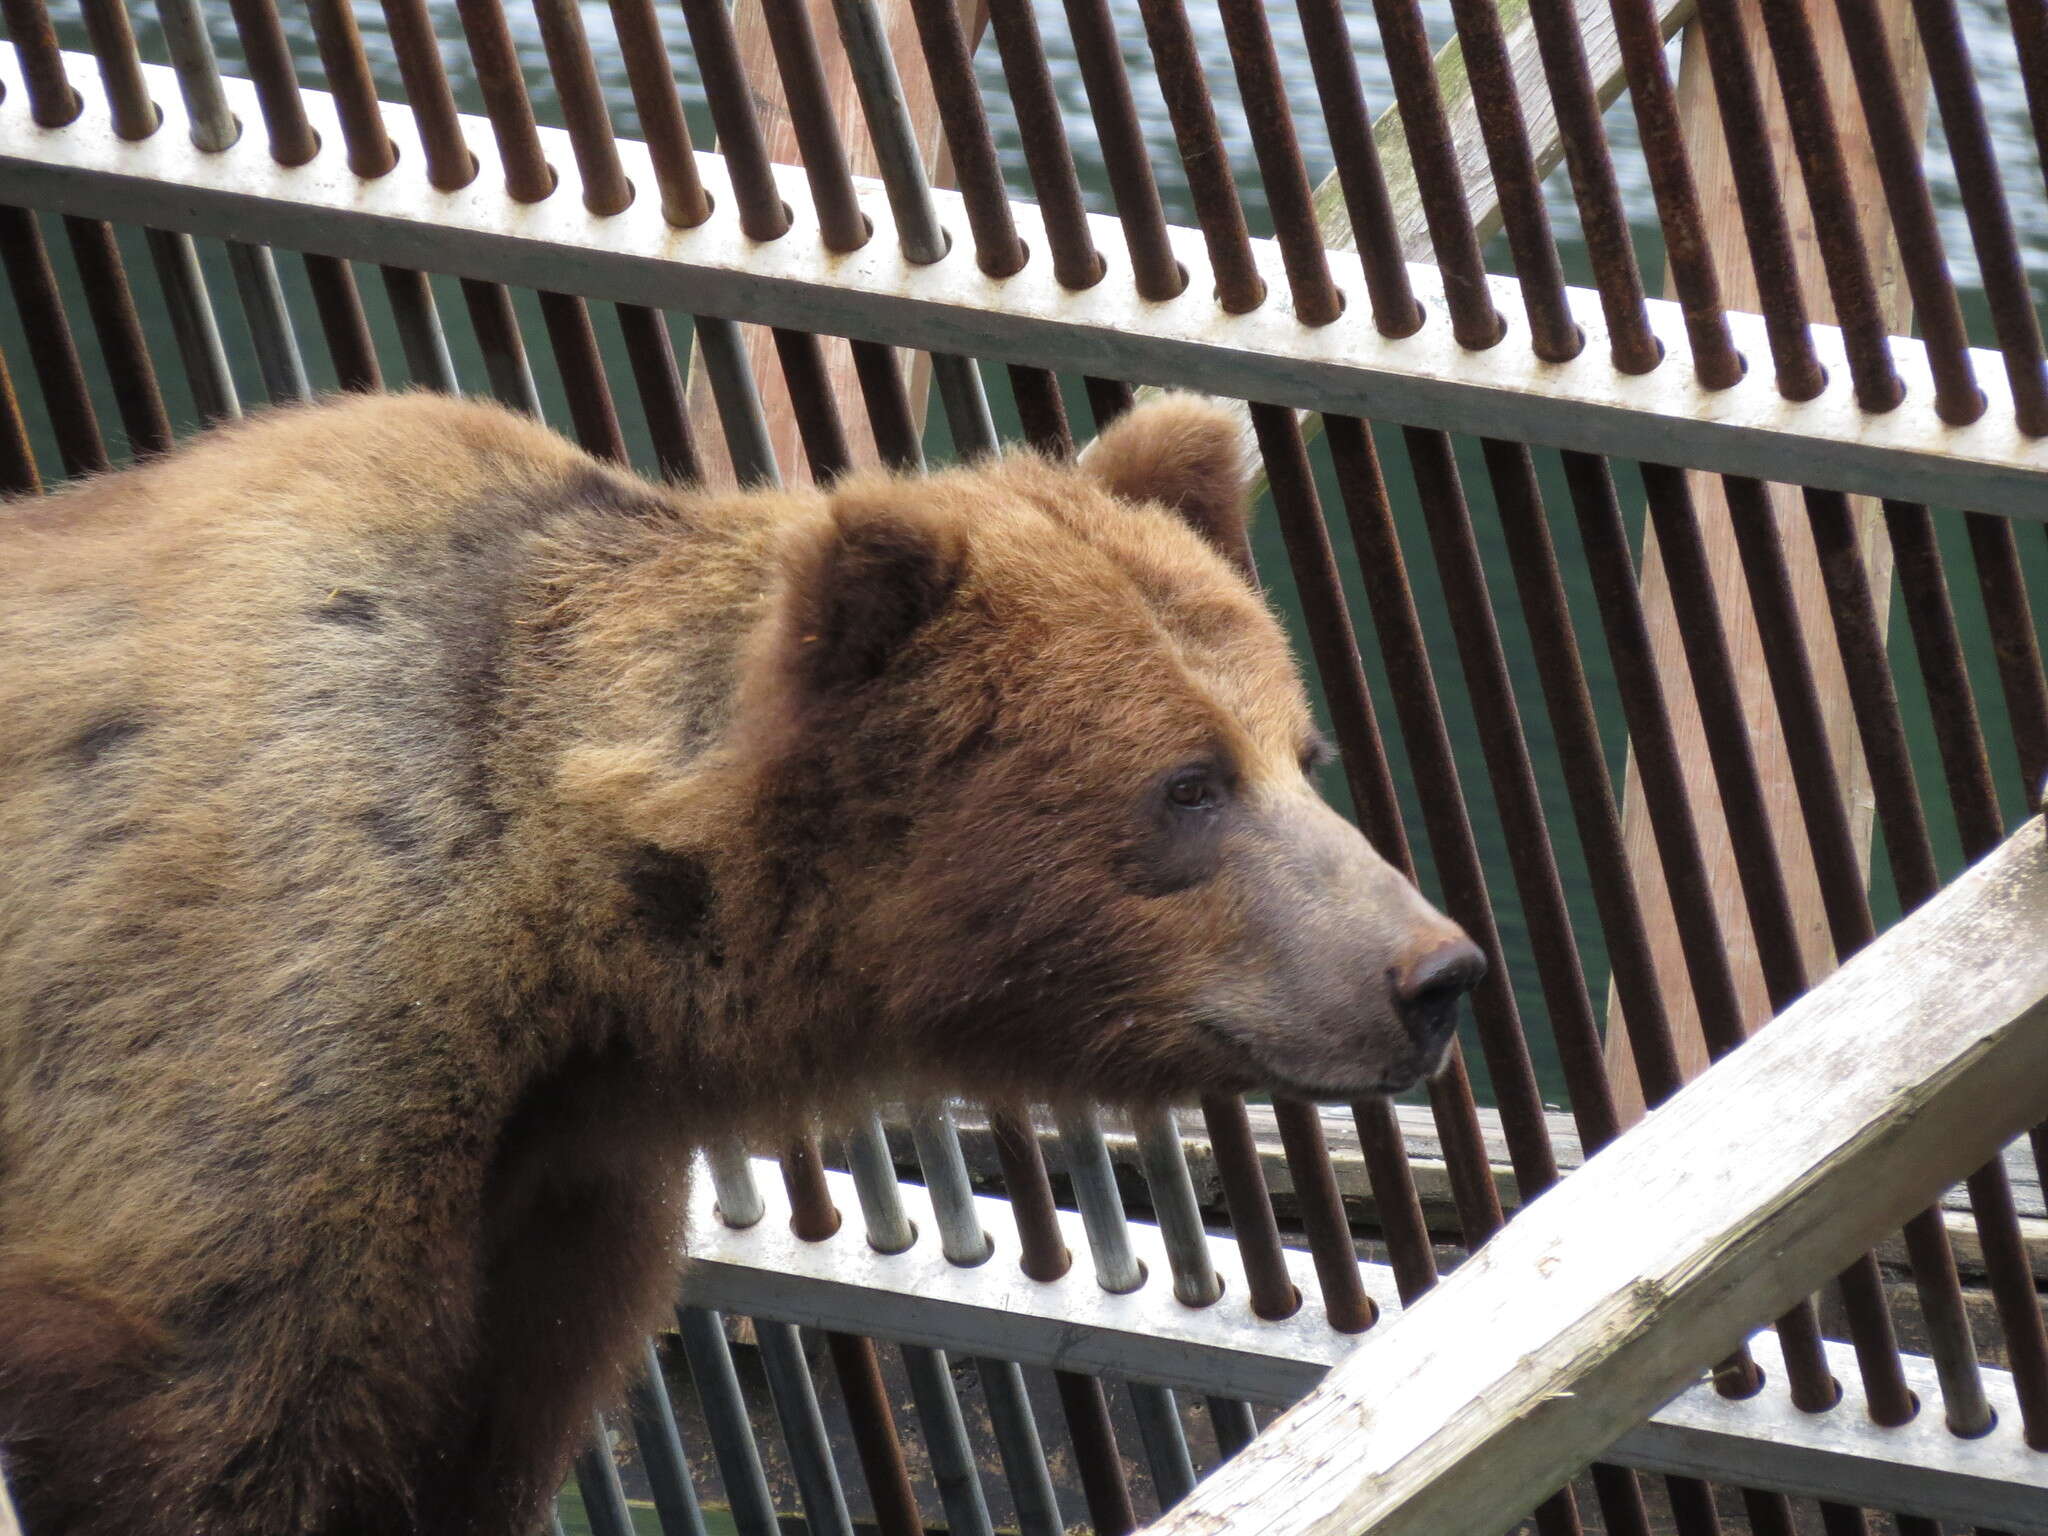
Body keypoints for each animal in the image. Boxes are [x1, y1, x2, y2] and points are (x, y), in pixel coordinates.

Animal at [0, 393, 1482, 1536]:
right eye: (1186, 785)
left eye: (1299, 751)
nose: (1432, 972)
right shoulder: (256, 1089)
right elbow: (217, 1433)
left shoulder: (551, 1205)